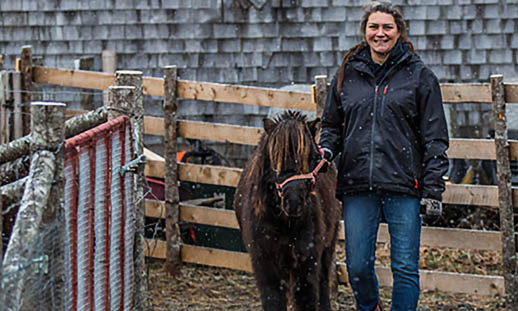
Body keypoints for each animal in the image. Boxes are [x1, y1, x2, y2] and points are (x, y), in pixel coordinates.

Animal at [235, 111, 342, 310]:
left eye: (313, 158)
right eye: (275, 159)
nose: (293, 202)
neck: (284, 222)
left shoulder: (307, 261)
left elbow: (307, 298)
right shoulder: (265, 263)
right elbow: (273, 299)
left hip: (327, 247)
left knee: (323, 283)